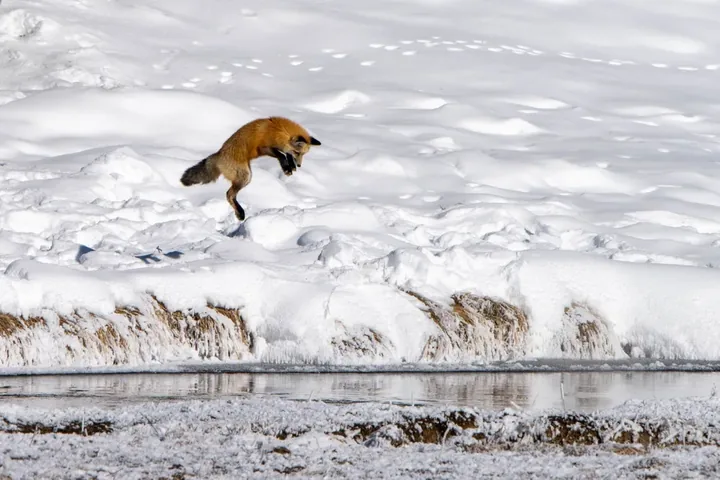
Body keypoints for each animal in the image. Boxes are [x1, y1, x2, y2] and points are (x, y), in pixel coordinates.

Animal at [180, 116, 321, 221]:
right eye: (298, 152)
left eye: (303, 154)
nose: (300, 165)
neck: (276, 130)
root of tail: (218, 155)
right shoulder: (264, 148)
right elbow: (281, 155)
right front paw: (287, 167)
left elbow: (285, 154)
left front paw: (290, 166)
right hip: (245, 176)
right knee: (229, 194)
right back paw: (240, 213)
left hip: (247, 176)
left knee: (230, 194)